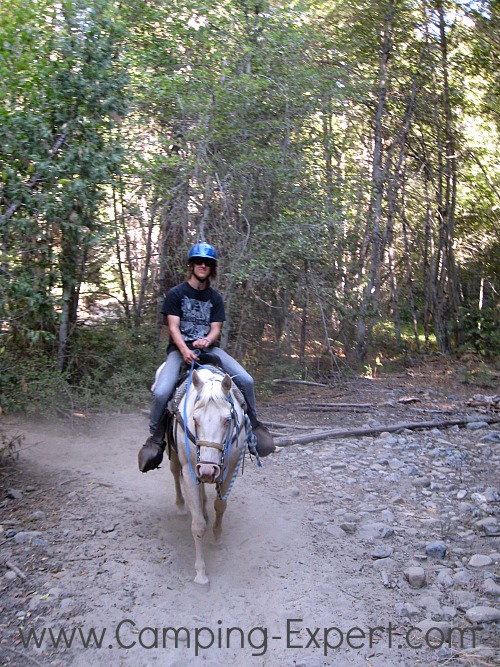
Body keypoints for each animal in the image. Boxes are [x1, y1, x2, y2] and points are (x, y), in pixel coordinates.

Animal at [170, 366, 252, 584]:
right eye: (195, 419)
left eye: (227, 419)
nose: (208, 470)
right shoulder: (190, 470)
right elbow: (197, 524)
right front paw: (200, 573)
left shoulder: (229, 468)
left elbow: (220, 506)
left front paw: (216, 538)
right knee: (174, 473)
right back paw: (181, 506)